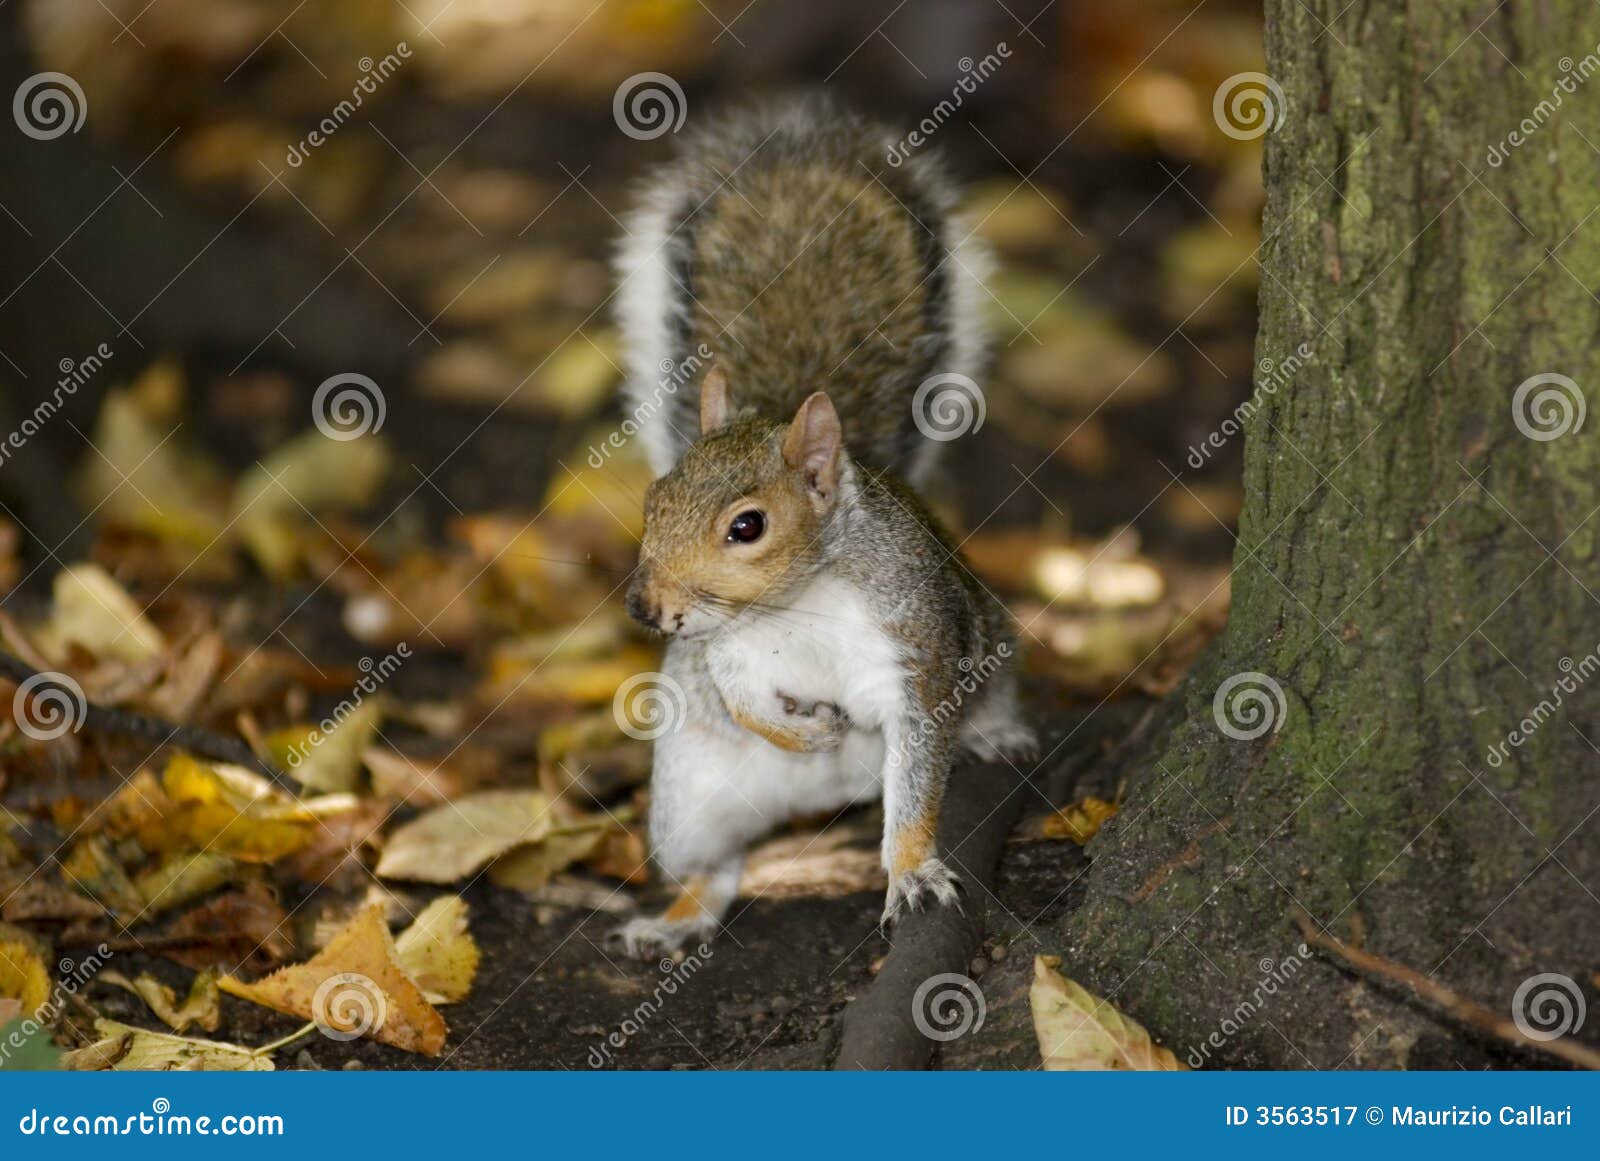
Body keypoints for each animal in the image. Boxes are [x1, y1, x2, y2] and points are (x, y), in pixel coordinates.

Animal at [604, 97, 1030, 965]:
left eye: (748, 526)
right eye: (655, 500)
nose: (644, 609)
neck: (794, 605)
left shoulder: (914, 648)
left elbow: (918, 773)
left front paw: (911, 872)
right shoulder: (728, 656)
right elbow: (747, 706)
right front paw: (808, 731)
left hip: (992, 642)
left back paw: (995, 734)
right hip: (688, 802)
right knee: (716, 868)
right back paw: (679, 917)